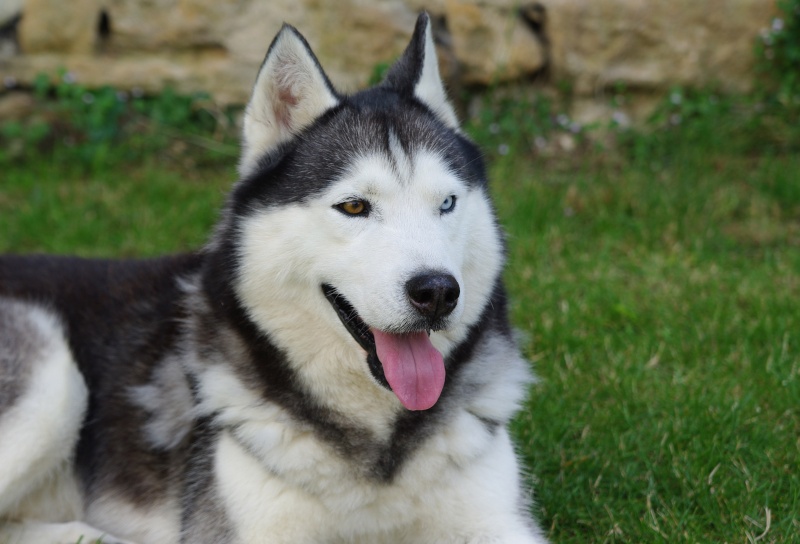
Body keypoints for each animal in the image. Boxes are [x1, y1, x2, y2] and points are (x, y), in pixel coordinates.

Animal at [0, 12, 544, 544]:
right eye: (354, 207)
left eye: (446, 203)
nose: (437, 292)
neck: (376, 444)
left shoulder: (498, 520)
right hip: (51, 380)